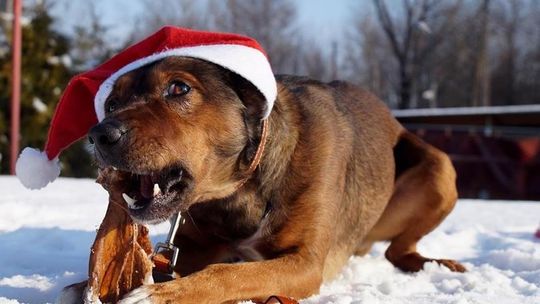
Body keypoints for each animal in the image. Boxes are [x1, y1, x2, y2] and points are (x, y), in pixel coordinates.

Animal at [85, 55, 464, 302]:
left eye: (178, 88)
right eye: (112, 102)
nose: (99, 135)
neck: (238, 192)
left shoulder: (305, 263)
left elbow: (227, 273)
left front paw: (161, 295)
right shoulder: (192, 244)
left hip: (441, 167)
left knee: (397, 251)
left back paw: (437, 263)